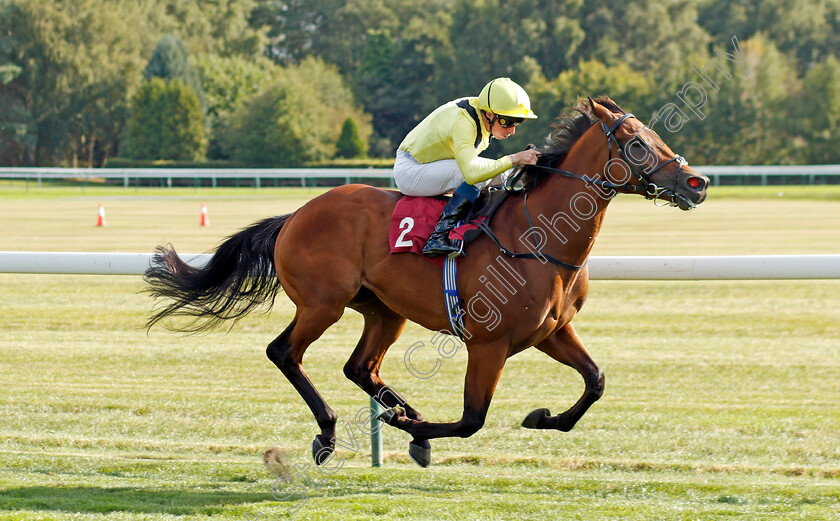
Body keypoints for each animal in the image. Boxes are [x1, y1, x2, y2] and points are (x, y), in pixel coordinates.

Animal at [146, 97, 708, 468]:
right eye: (637, 144)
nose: (696, 183)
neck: (537, 236)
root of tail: (296, 214)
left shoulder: (550, 331)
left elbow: (595, 381)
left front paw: (541, 417)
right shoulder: (488, 342)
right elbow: (472, 419)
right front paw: (416, 429)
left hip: (383, 310)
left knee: (360, 367)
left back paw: (401, 418)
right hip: (323, 304)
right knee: (284, 352)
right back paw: (332, 433)